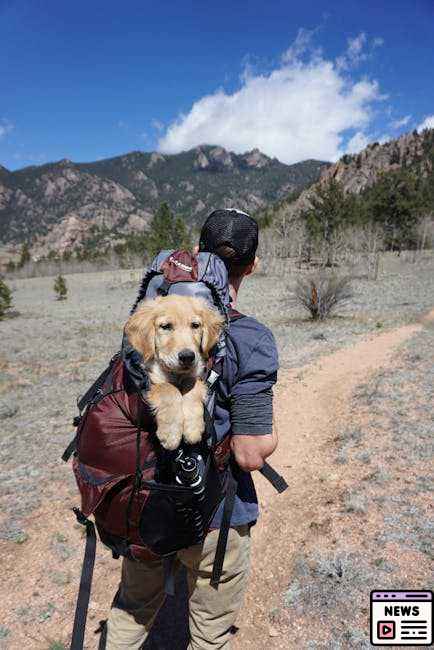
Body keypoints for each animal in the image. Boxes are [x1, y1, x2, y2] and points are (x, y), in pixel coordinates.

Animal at [124, 294, 222, 450]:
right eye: (166, 326)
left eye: (195, 325)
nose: (187, 357)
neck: (177, 374)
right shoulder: (150, 381)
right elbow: (168, 389)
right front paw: (171, 434)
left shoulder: (195, 375)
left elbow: (191, 385)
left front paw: (193, 429)